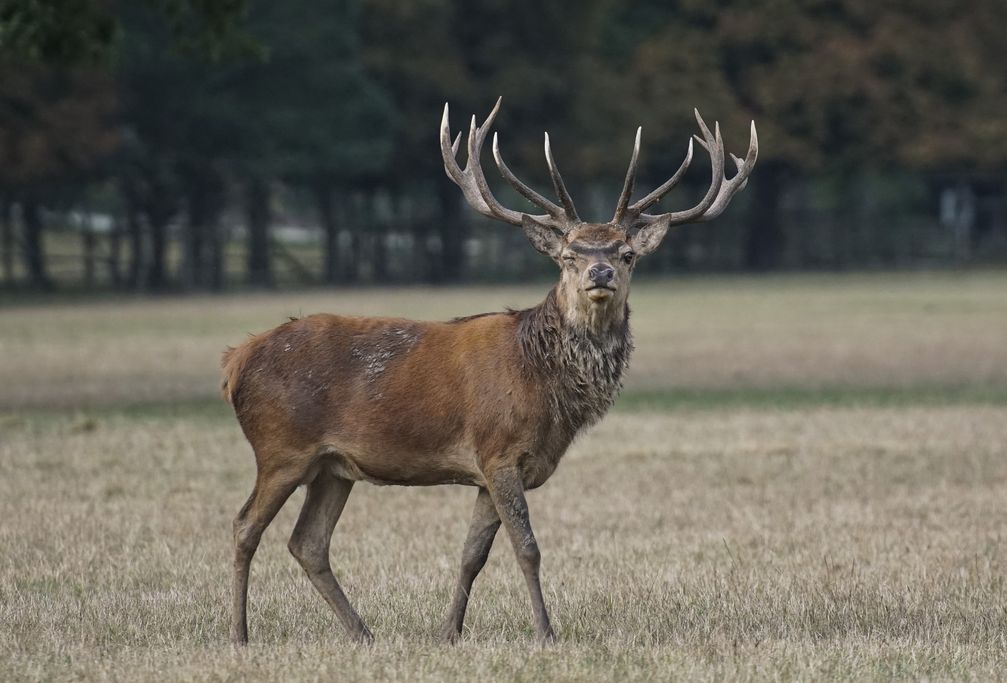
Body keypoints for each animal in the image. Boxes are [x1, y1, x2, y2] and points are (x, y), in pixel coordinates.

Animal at [220, 97, 757, 648]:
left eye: (626, 254)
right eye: (569, 255)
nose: (600, 272)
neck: (544, 386)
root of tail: (235, 362)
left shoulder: (487, 471)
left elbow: (472, 555)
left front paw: (448, 632)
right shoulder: (499, 450)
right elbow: (527, 548)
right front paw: (546, 632)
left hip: (331, 466)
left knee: (307, 542)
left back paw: (363, 633)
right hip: (281, 448)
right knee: (244, 526)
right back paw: (240, 634)